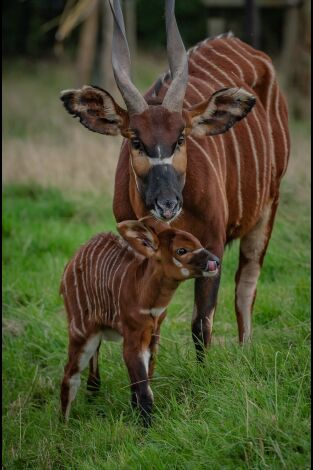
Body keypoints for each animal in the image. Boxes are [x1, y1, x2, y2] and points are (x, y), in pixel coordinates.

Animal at [59, 0, 288, 360]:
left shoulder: (212, 247)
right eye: (136, 140)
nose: (166, 204)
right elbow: (149, 322)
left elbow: (201, 323)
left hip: (268, 206)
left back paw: (245, 350)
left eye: (181, 137)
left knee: (246, 283)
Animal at [59, 217, 218, 426]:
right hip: (81, 330)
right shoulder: (133, 338)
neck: (141, 292)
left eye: (198, 242)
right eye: (181, 250)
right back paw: (63, 426)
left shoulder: (153, 336)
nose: (215, 261)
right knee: (69, 374)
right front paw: (146, 429)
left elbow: (143, 384)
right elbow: (144, 392)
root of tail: (70, 265)